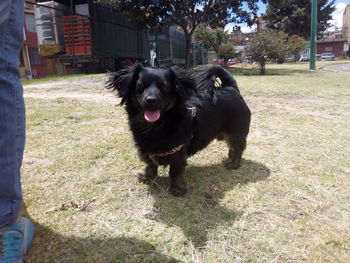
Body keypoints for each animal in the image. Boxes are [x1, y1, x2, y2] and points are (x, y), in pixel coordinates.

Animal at [107, 65, 252, 197]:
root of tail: (231, 88)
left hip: (236, 133)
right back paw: (230, 157)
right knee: (232, 147)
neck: (156, 127)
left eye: (165, 87)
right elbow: (151, 166)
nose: (151, 100)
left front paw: (177, 188)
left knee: (238, 148)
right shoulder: (147, 150)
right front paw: (148, 178)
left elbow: (175, 172)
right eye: (140, 85)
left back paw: (234, 164)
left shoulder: (178, 152)